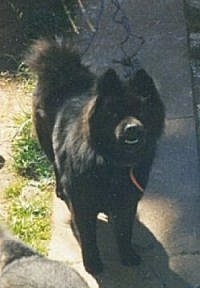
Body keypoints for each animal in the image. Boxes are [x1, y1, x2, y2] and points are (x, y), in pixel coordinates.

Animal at [26, 38, 164, 274]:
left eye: (141, 112)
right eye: (114, 114)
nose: (132, 128)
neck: (113, 165)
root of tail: (61, 70)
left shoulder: (128, 201)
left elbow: (124, 232)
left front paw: (127, 255)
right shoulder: (82, 204)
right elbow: (89, 237)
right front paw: (92, 264)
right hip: (46, 144)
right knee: (55, 166)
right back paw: (60, 190)